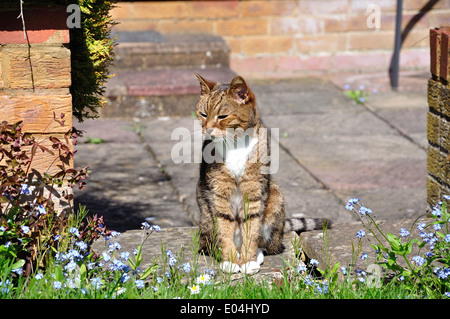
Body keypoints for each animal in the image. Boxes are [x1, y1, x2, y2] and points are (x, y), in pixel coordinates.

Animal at [195, 74, 332, 276]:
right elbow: (224, 228)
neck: (234, 145)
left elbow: (252, 230)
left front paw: (248, 261)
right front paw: (230, 262)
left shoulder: (255, 190)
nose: (208, 130)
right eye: (203, 114)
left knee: (267, 243)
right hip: (205, 215)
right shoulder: (219, 192)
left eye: (222, 116)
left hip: (275, 196)